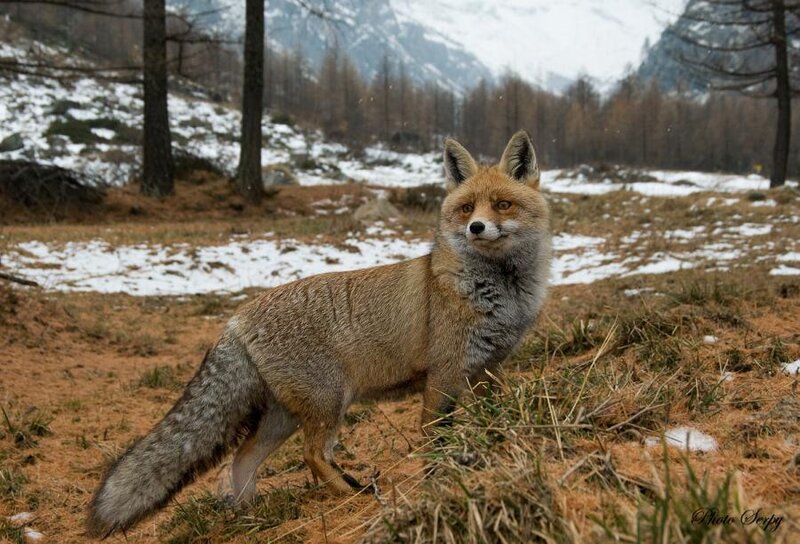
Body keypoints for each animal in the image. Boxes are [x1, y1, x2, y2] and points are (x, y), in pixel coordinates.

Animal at [86, 130, 552, 537]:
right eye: (467, 208)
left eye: (503, 204)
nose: (476, 228)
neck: (499, 293)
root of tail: (237, 317)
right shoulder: (444, 374)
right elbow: (435, 436)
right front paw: (440, 476)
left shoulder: (488, 368)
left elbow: (494, 415)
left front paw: (499, 443)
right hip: (329, 402)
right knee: (312, 455)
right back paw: (350, 495)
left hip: (287, 415)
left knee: (242, 458)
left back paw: (249, 514)